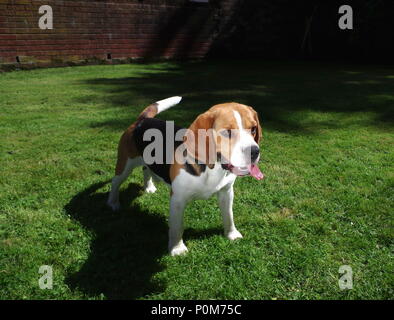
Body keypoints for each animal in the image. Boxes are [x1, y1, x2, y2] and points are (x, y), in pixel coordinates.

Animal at [106, 96, 264, 256]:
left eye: (253, 129)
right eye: (227, 133)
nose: (254, 152)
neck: (212, 168)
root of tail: (142, 120)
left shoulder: (226, 192)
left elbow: (229, 216)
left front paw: (232, 234)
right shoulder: (177, 199)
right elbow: (177, 227)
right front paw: (177, 249)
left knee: (146, 169)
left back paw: (149, 187)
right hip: (125, 165)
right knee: (115, 182)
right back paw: (113, 203)